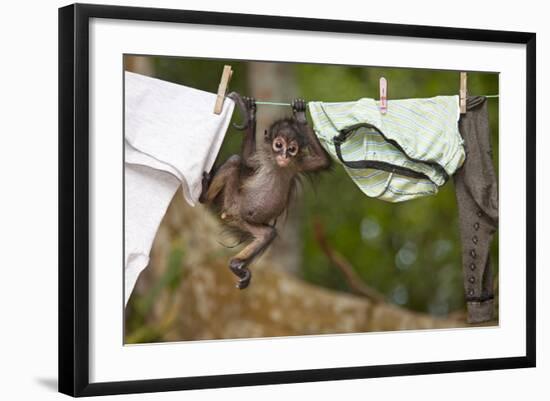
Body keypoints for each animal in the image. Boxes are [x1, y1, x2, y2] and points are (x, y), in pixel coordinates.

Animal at [202, 92, 332, 290]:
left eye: (292, 149)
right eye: (278, 145)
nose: (284, 155)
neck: (278, 165)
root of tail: (232, 213)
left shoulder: (298, 164)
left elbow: (323, 161)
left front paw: (300, 117)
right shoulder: (262, 159)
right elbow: (247, 159)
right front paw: (250, 112)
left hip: (245, 220)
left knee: (268, 234)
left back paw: (236, 265)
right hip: (232, 201)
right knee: (234, 160)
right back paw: (203, 196)